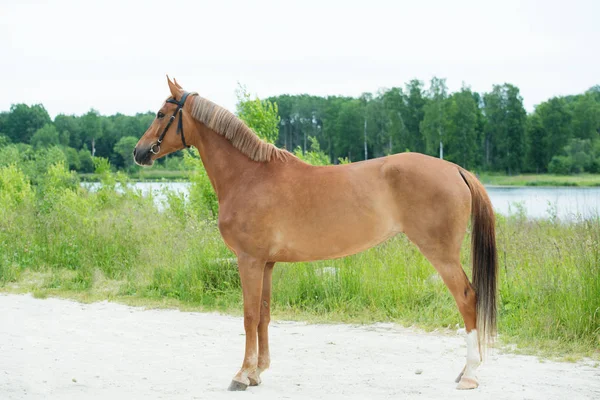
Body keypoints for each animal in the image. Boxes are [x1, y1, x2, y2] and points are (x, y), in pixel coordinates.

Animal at [135, 77, 496, 390]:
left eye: (161, 114)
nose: (139, 152)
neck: (249, 176)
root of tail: (456, 169)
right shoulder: (266, 263)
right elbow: (264, 314)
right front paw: (257, 372)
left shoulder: (248, 260)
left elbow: (249, 315)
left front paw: (241, 375)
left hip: (440, 253)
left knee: (467, 298)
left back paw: (470, 374)